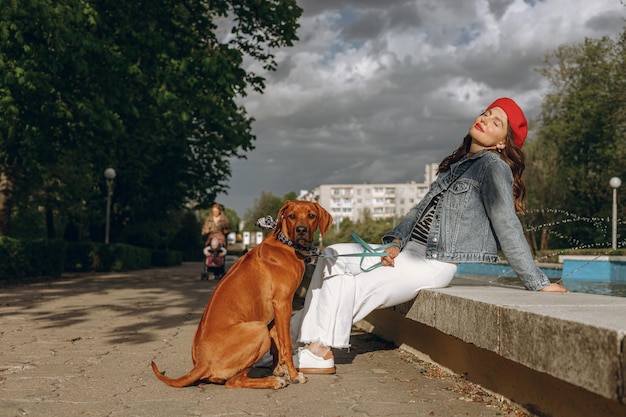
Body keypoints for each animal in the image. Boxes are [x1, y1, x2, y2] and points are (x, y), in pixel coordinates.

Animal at [151, 200, 332, 388]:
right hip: (259, 329)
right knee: (234, 381)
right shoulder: (283, 303)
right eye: (292, 216)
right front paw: (294, 375)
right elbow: (286, 344)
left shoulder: (276, 311)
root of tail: (201, 364)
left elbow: (277, 342)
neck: (286, 244)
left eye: (311, 215)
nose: (301, 230)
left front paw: (279, 370)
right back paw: (272, 381)